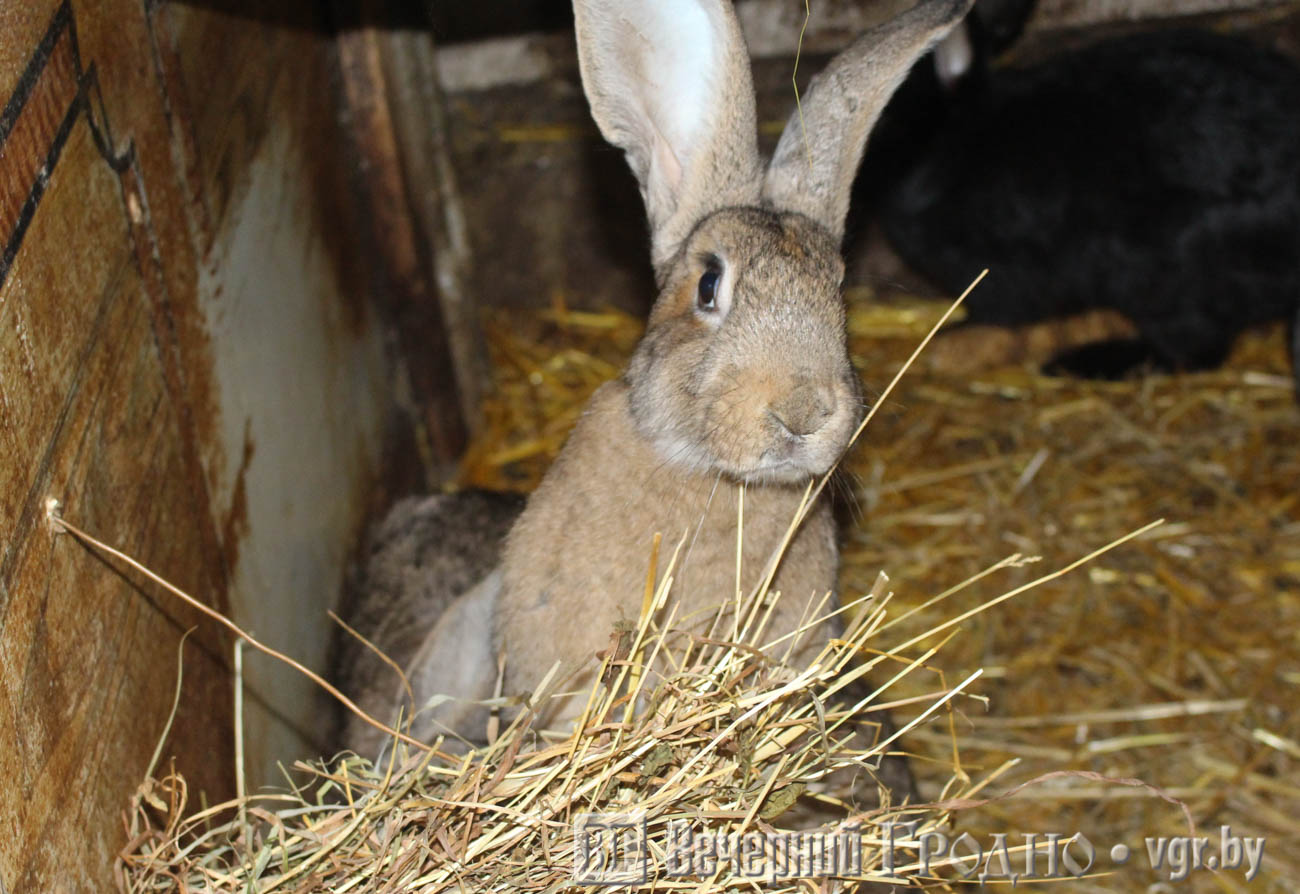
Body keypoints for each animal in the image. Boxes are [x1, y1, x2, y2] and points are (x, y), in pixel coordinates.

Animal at [868, 21, 1300, 387]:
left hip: (1158, 276)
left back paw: (1080, 363)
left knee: (1193, 350)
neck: (954, 140)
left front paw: (958, 331)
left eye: (887, 119)